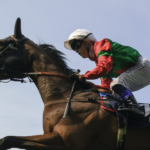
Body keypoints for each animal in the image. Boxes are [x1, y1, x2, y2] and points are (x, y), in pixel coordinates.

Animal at [0, 17, 149, 150]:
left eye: (3, 44)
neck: (64, 96)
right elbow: (7, 140)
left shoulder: (64, 141)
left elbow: (7, 140)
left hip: (141, 69)